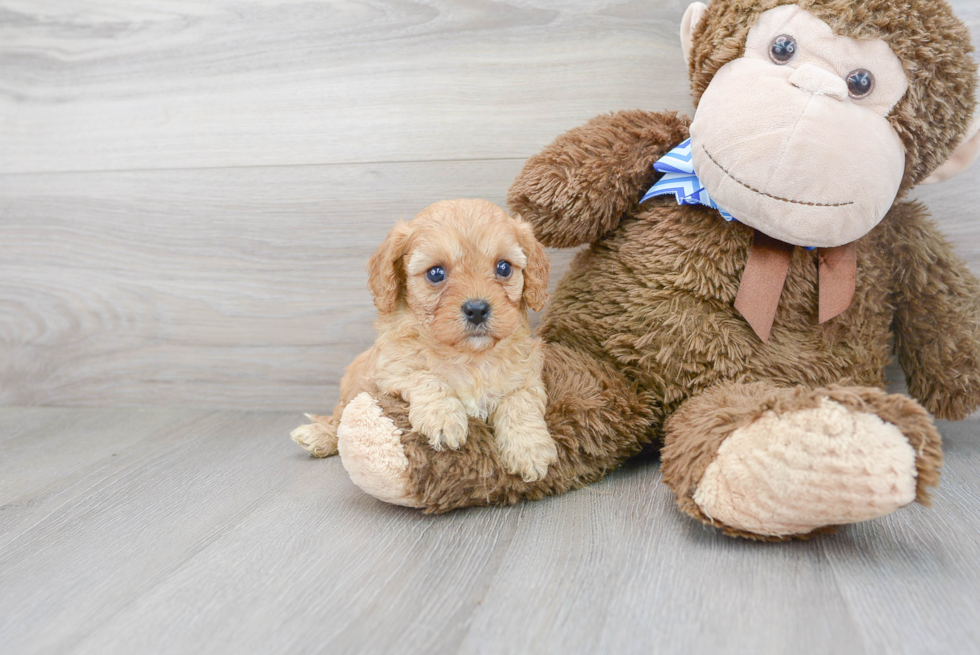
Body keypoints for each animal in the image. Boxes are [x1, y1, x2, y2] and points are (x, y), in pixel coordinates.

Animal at [290, 200, 560, 482]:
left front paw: (529, 449)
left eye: (504, 268)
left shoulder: (527, 377)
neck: (470, 356)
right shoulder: (393, 369)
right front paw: (443, 419)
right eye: (436, 273)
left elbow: (520, 404)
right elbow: (426, 377)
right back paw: (317, 436)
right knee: (337, 419)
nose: (477, 309)